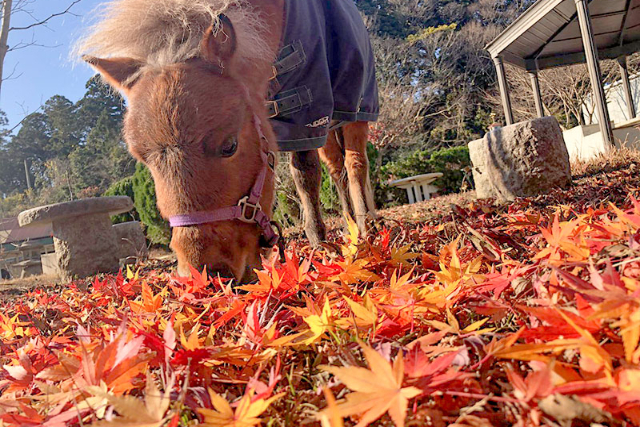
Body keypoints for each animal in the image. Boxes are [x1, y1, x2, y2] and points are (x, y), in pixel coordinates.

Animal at [79, 0, 378, 281]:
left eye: (229, 146)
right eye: (143, 159)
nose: (204, 275)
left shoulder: (309, 111)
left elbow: (305, 175)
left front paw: (318, 242)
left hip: (352, 110)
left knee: (355, 164)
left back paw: (367, 228)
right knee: (337, 170)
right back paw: (351, 223)